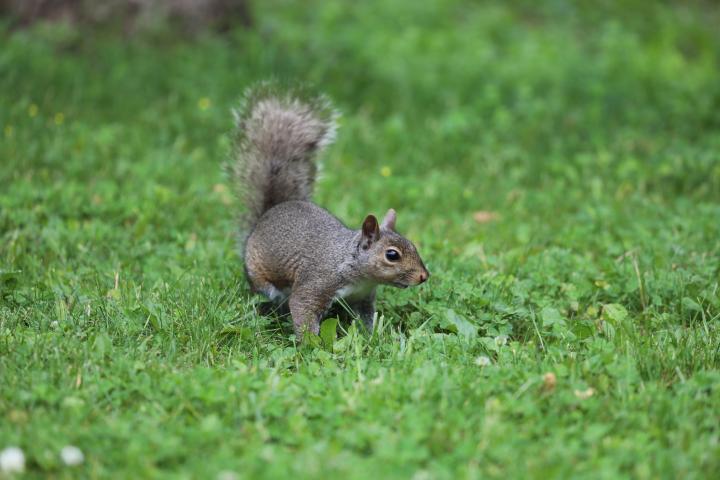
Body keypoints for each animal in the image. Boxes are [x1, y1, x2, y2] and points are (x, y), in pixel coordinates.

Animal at [232, 85, 429, 337]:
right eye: (392, 255)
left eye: (413, 244)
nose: (424, 276)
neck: (350, 263)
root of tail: (268, 213)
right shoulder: (317, 283)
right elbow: (302, 308)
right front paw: (311, 343)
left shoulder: (363, 297)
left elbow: (366, 318)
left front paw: (373, 337)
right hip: (262, 278)